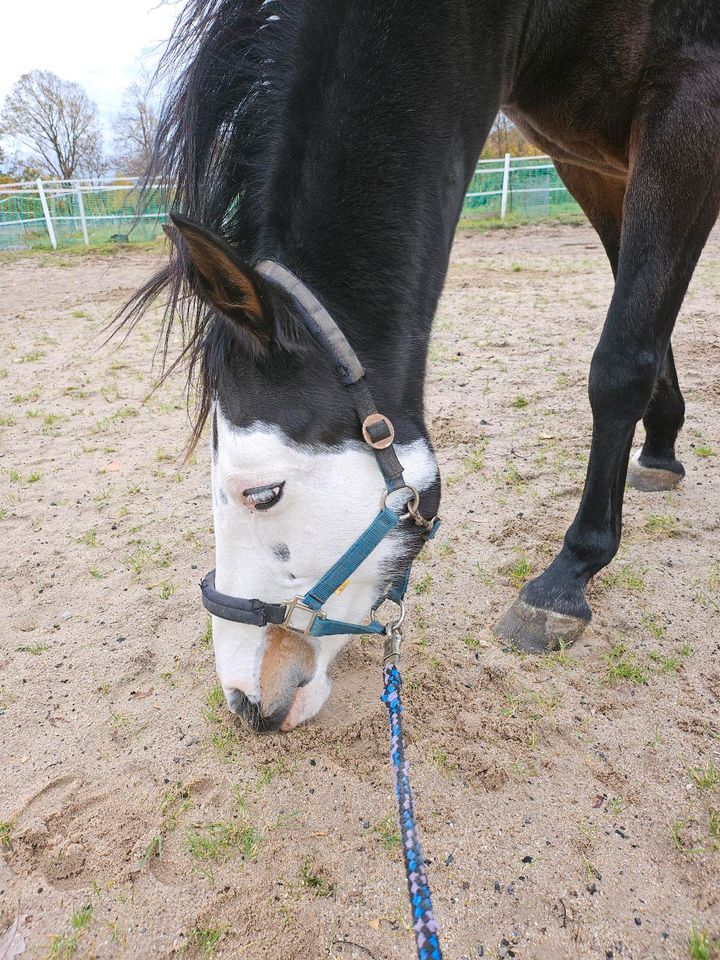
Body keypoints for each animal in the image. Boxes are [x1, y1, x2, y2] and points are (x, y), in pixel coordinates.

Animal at [124, 0, 720, 732]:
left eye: (262, 493)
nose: (244, 702)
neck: (524, 23)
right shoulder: (594, 166)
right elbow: (644, 321)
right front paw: (661, 447)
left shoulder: (689, 111)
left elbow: (622, 359)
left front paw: (567, 576)